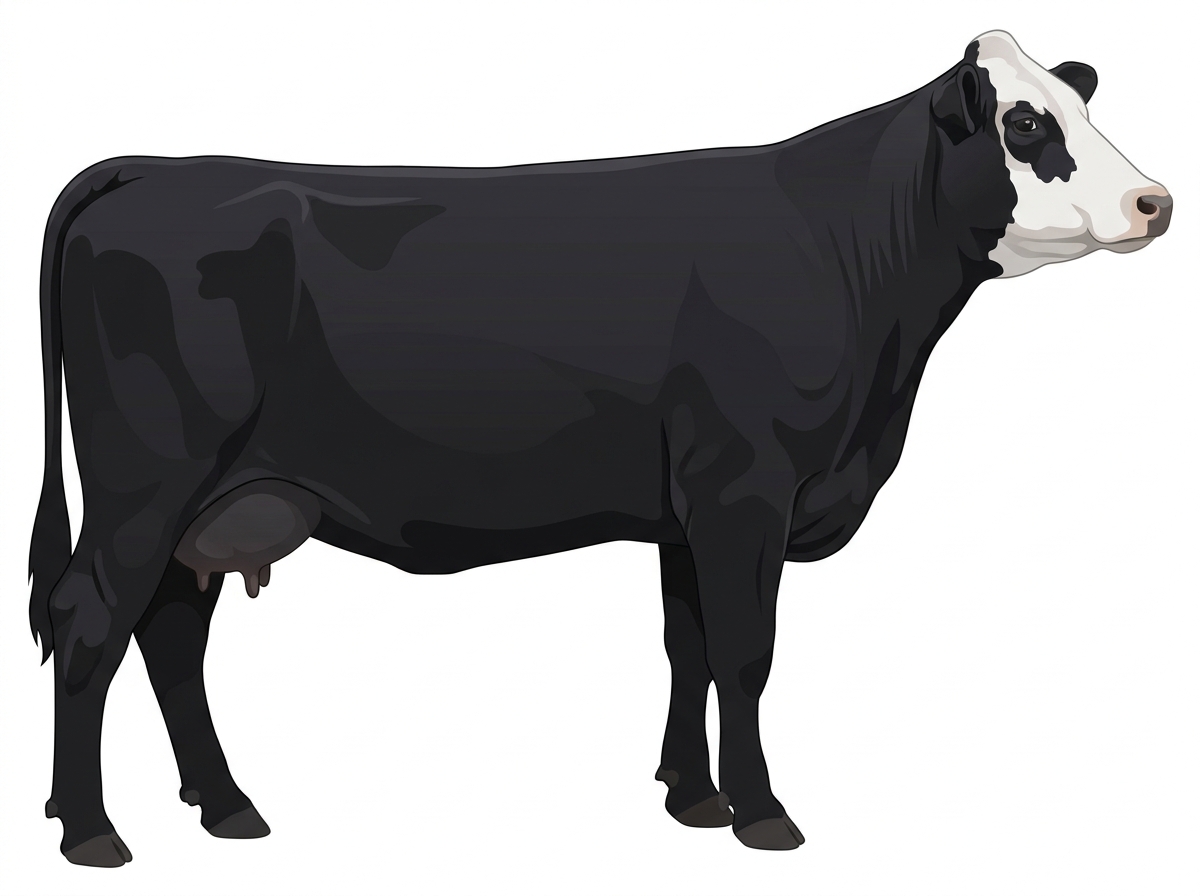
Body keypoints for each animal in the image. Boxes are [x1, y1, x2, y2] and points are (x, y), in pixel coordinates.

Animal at [28, 30, 1171, 866]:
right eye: (1025, 123)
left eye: (1082, 108)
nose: (1154, 201)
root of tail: (145, 169)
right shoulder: (745, 488)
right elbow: (746, 652)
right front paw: (763, 811)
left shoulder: (688, 507)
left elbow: (689, 645)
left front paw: (693, 797)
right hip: (147, 483)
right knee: (93, 622)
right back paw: (91, 830)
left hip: (211, 502)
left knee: (170, 635)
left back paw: (226, 805)